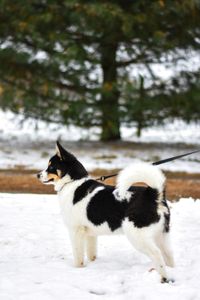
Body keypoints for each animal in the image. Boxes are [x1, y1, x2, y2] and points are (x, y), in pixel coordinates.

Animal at [37, 142, 173, 282]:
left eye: (51, 166)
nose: (37, 175)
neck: (72, 182)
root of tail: (153, 194)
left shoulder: (76, 231)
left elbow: (78, 255)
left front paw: (77, 270)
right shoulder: (90, 234)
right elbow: (91, 254)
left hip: (138, 236)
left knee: (157, 254)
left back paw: (163, 277)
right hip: (162, 235)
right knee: (168, 256)